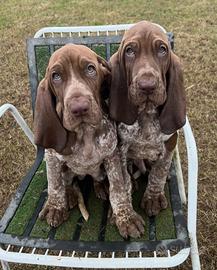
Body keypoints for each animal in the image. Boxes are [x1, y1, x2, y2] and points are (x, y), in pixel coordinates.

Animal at [34, 44, 144, 238]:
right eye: (56, 76)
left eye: (90, 69)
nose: (79, 108)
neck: (84, 132)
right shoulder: (52, 156)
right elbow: (54, 183)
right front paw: (55, 206)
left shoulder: (112, 156)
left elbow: (118, 188)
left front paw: (126, 217)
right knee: (67, 181)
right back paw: (70, 194)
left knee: (98, 179)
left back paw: (101, 186)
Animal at [109, 20, 186, 215]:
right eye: (129, 51)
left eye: (162, 49)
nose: (147, 86)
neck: (146, 113)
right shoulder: (121, 148)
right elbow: (123, 179)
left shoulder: (170, 143)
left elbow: (159, 171)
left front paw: (153, 196)